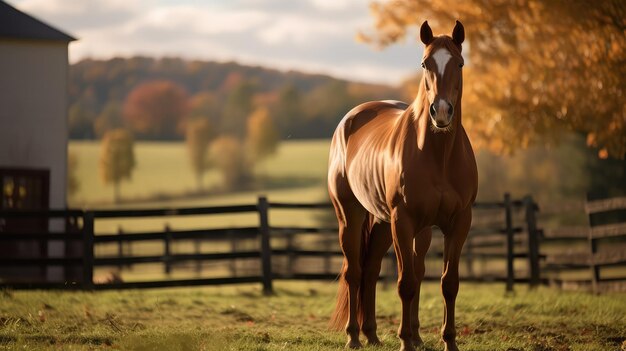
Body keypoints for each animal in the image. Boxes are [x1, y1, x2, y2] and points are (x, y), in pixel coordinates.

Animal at [326, 20, 478, 351]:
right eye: (425, 63)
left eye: (460, 63)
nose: (441, 112)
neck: (437, 155)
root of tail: (350, 119)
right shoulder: (403, 220)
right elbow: (406, 282)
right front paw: (405, 341)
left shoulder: (459, 222)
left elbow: (448, 282)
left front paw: (448, 341)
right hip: (352, 216)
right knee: (354, 272)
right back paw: (354, 337)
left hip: (387, 224)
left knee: (371, 270)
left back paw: (373, 334)